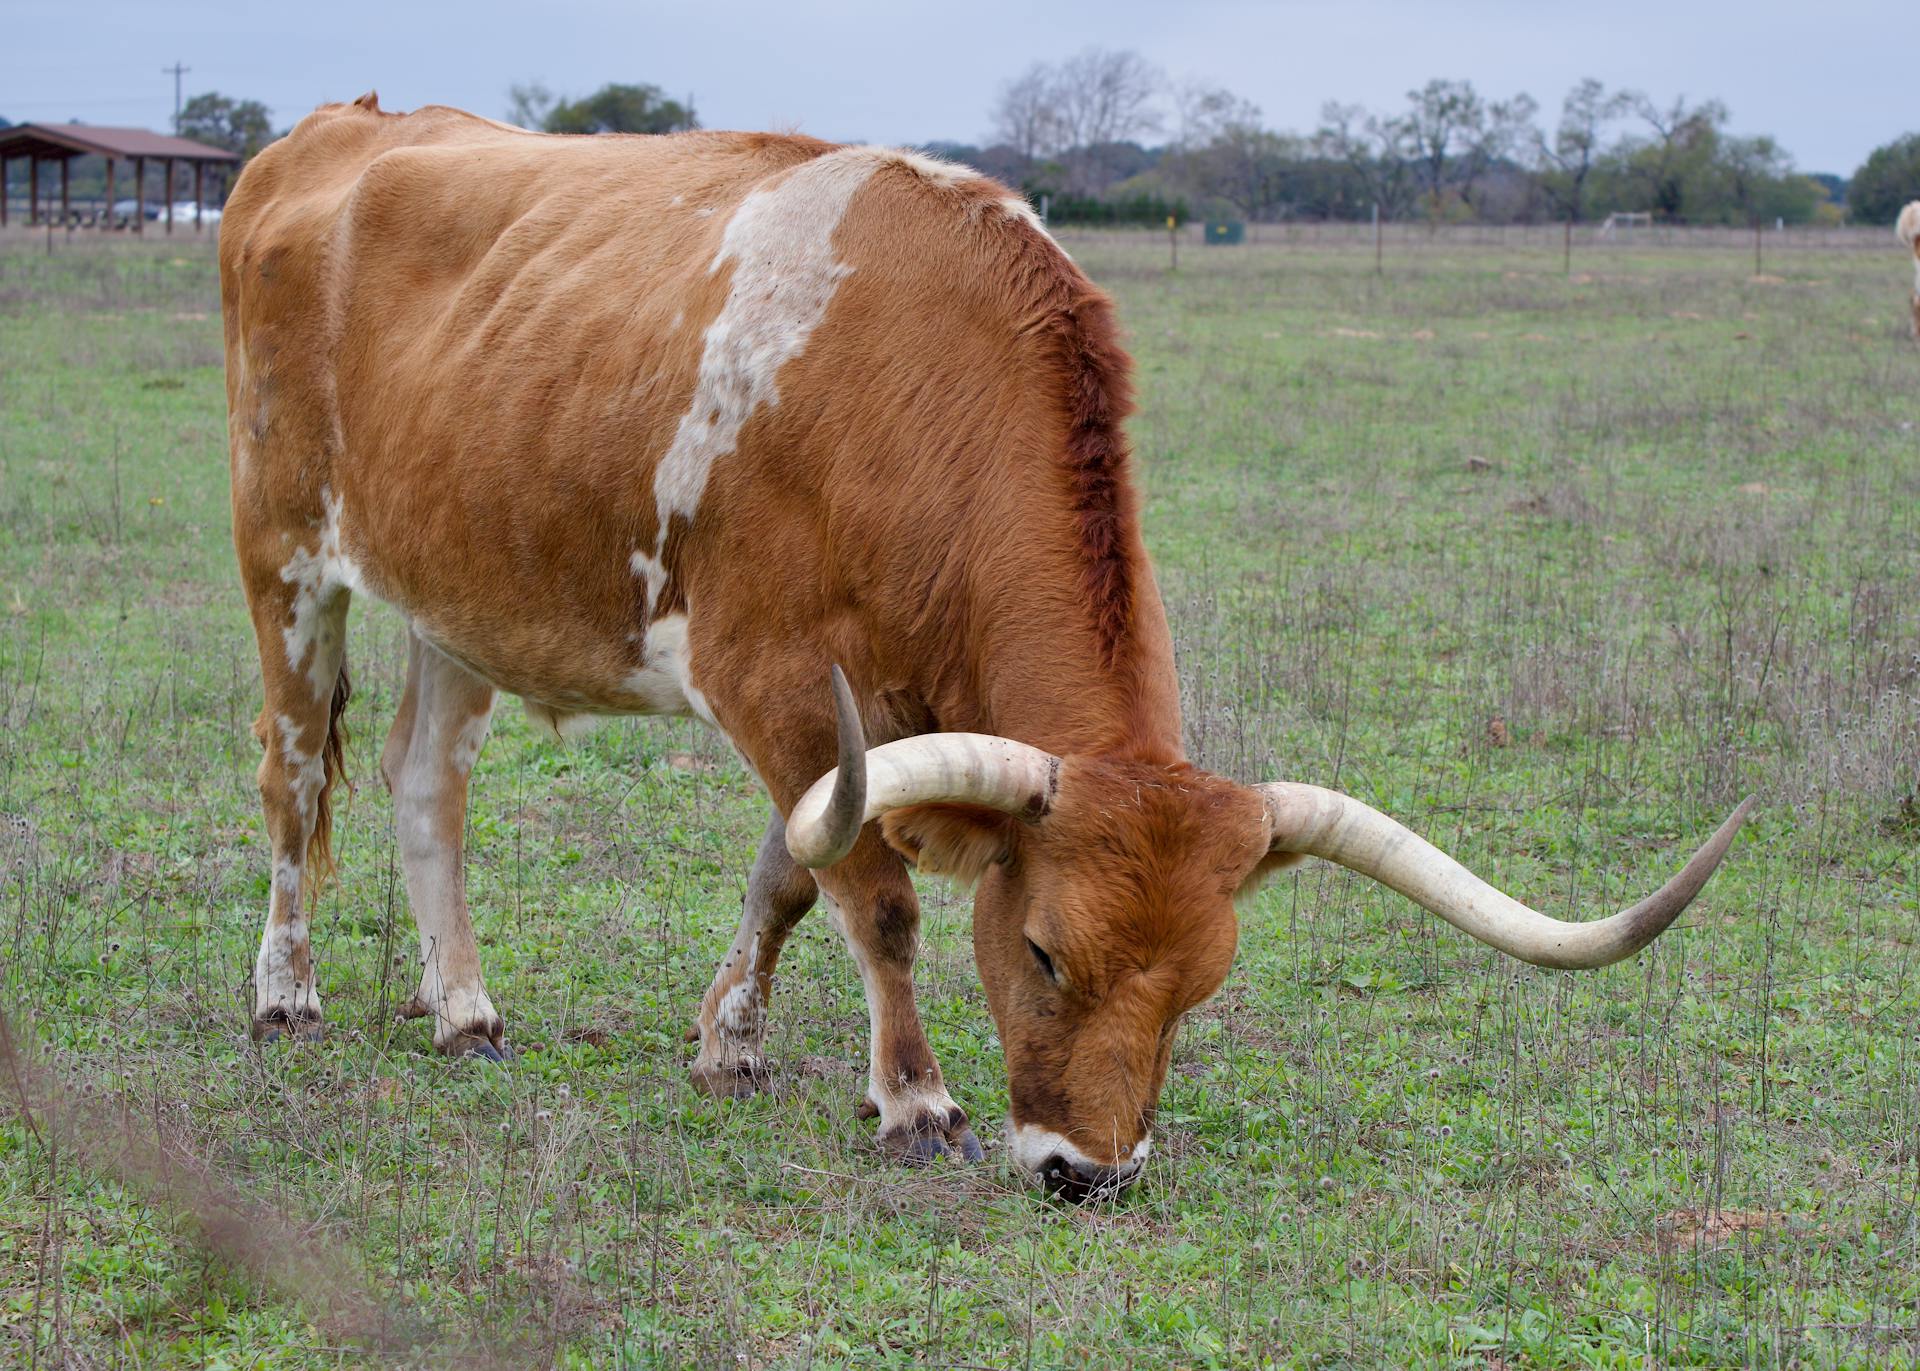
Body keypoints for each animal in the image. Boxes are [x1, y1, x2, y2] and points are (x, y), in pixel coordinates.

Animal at [224, 93, 1758, 1198]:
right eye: (1041, 952)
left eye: (1202, 984)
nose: (1090, 1173)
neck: (918, 393)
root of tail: (331, 131)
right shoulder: (777, 679)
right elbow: (877, 897)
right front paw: (915, 1100)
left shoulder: (862, 723)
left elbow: (798, 865)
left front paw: (731, 1042)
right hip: (286, 558)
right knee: (294, 781)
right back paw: (287, 994)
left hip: (459, 591)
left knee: (426, 787)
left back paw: (463, 1009)